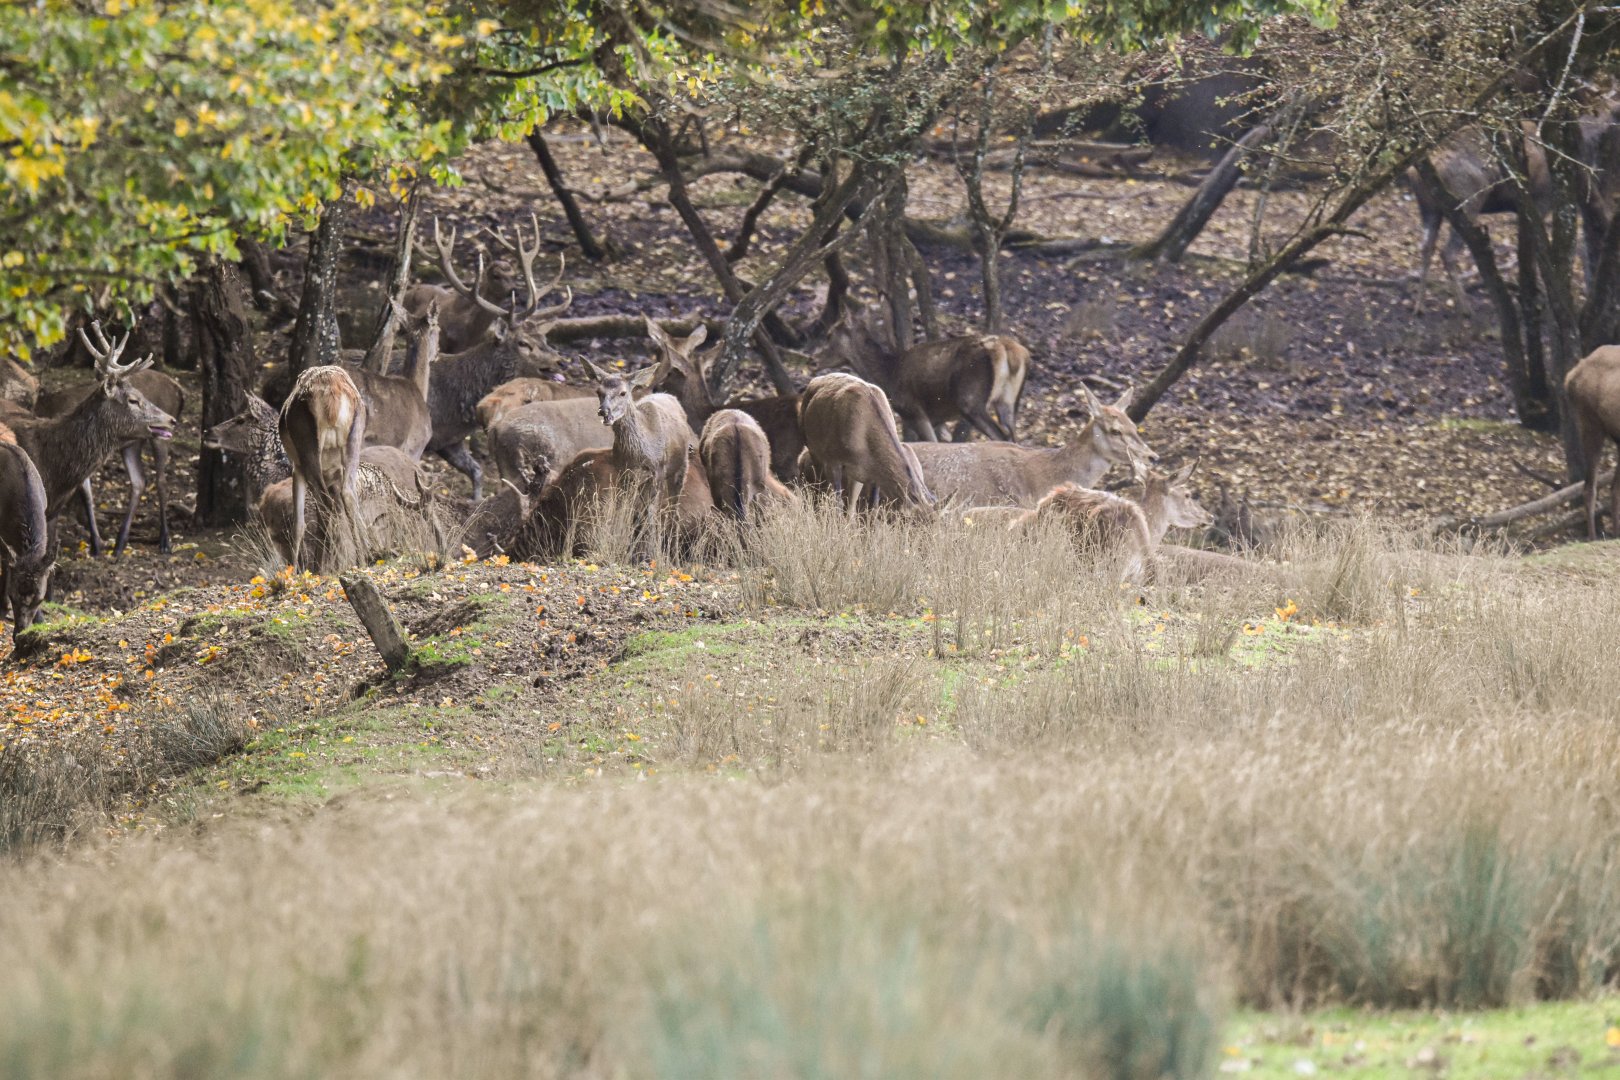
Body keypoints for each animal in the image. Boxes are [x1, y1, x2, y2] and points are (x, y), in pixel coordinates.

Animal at [34, 368, 185, 555]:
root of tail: (179, 389)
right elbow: (87, 495)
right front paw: (96, 544)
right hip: (132, 444)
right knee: (139, 481)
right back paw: (119, 544)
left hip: (160, 436)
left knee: (162, 482)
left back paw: (164, 541)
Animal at [278, 365, 366, 571]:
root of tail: (334, 390)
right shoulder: (333, 476)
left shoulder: (298, 469)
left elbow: (299, 523)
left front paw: (294, 571)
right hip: (355, 439)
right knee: (348, 495)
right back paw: (362, 560)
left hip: (308, 450)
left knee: (327, 508)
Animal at [798, 372, 935, 511]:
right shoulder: (832, 459)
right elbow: (837, 502)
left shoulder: (874, 476)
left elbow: (872, 505)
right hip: (813, 450)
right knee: (819, 488)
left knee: (850, 503)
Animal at [827, 302, 1030, 442]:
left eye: (829, 334)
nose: (817, 359)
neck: (888, 375)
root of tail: (1010, 350)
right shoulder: (933, 418)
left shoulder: (914, 410)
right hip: (1008, 401)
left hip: (971, 401)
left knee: (1001, 436)